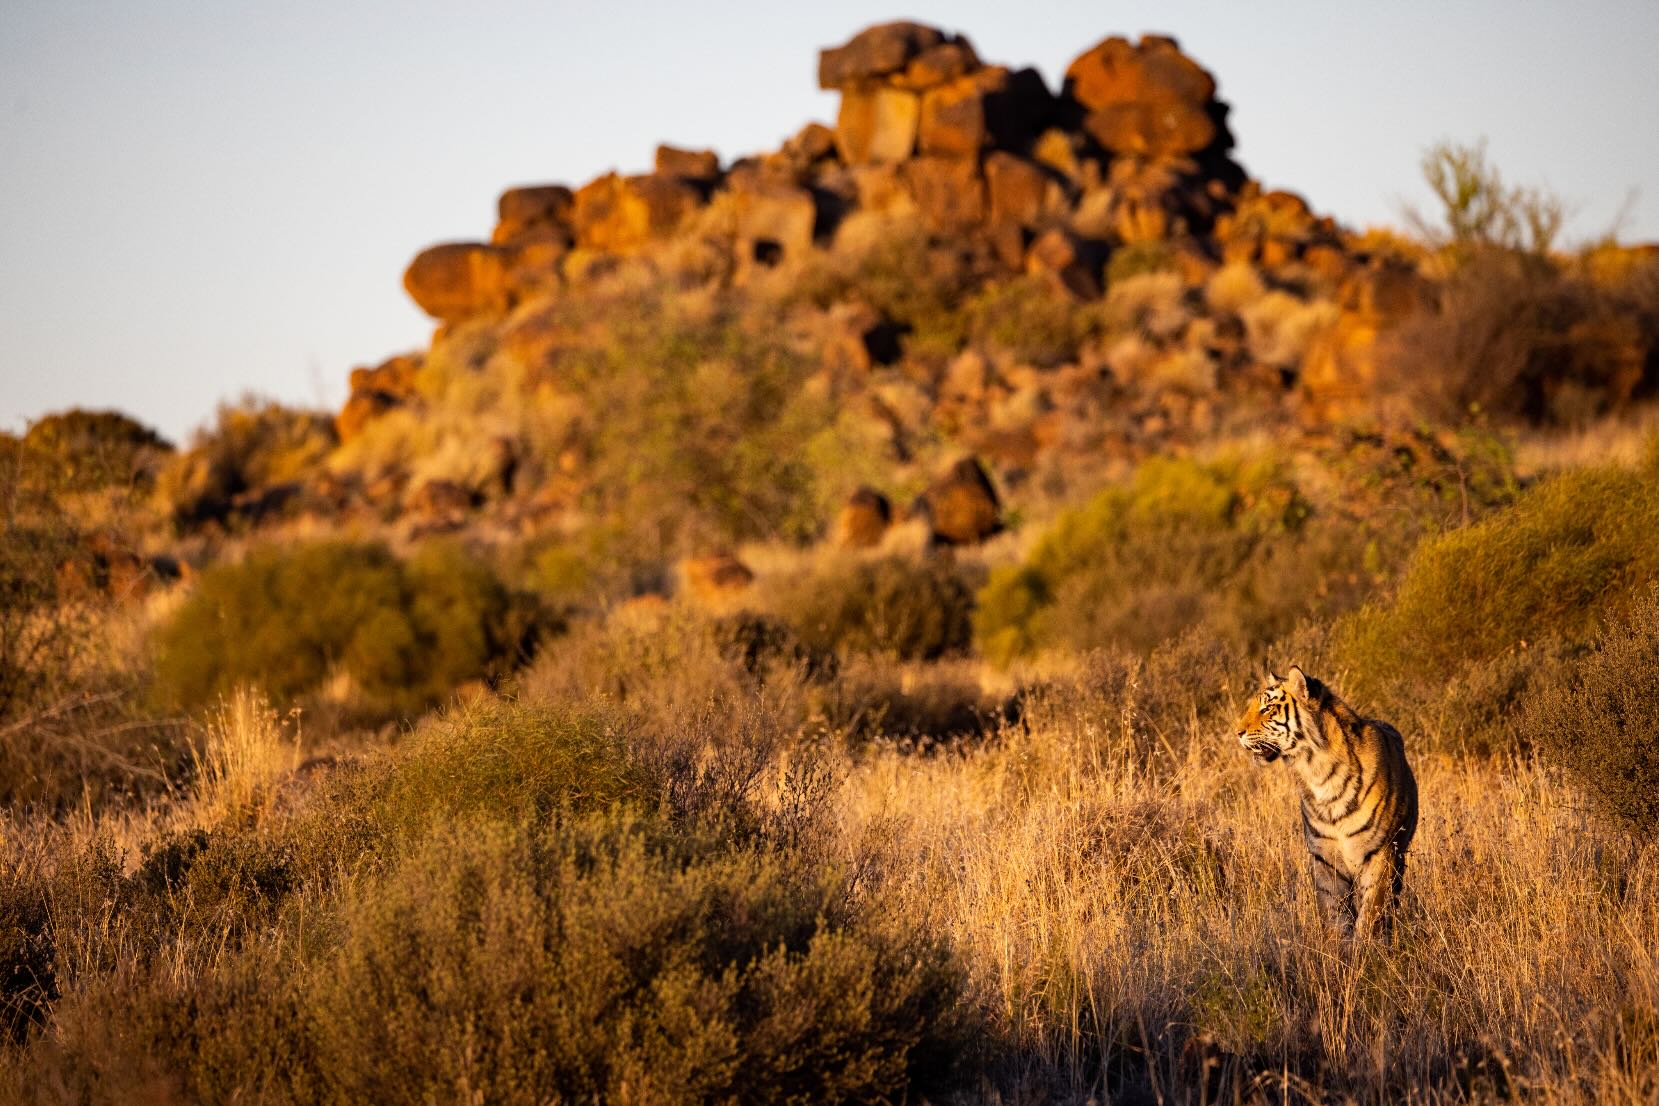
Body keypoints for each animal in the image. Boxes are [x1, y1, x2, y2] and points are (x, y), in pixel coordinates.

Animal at [1234, 666, 1418, 941]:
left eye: (1267, 708)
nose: (1237, 733)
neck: (1319, 772)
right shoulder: (1324, 857)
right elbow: (1334, 915)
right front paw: (1337, 948)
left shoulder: (1380, 853)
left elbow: (1370, 915)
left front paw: (1365, 949)